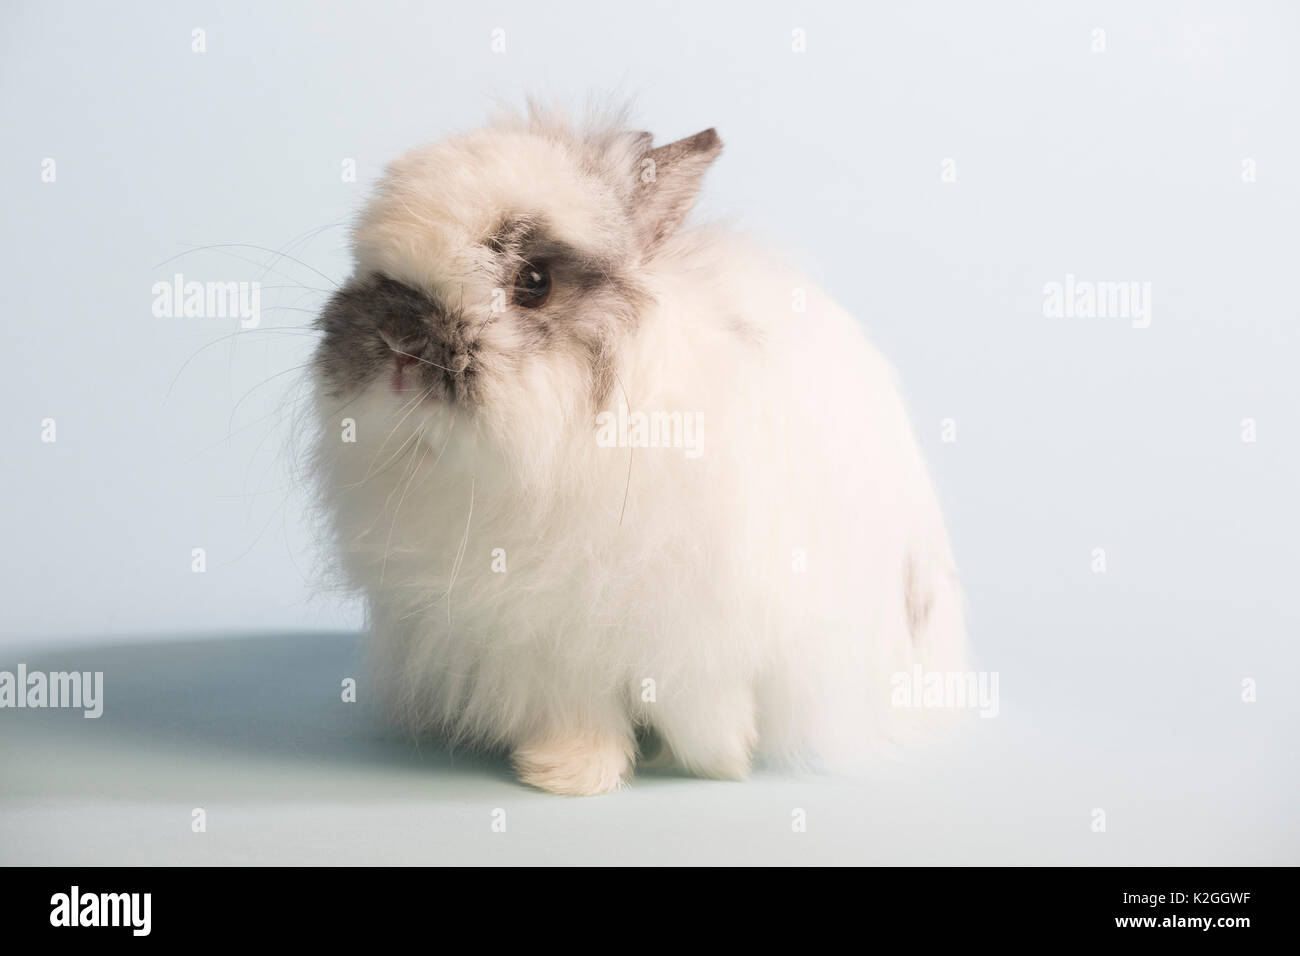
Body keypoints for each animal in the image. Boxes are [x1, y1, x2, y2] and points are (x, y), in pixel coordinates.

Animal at [308, 105, 966, 795]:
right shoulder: (541, 644)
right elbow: (577, 710)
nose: (397, 342)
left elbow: (706, 703)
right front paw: (566, 772)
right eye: (366, 266)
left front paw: (720, 762)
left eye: (534, 282)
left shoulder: (698, 634)